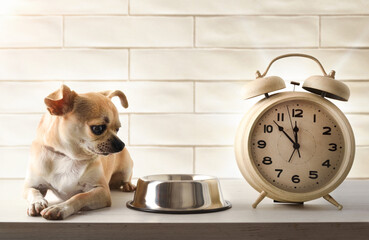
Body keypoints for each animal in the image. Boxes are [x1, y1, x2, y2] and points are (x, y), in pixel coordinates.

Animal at [23, 85, 135, 220]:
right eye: (98, 128)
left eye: (117, 129)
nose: (121, 144)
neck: (69, 157)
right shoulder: (31, 185)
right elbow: (33, 191)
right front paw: (36, 202)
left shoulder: (102, 190)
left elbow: (79, 196)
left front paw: (59, 208)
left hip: (127, 166)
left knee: (126, 177)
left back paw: (128, 185)